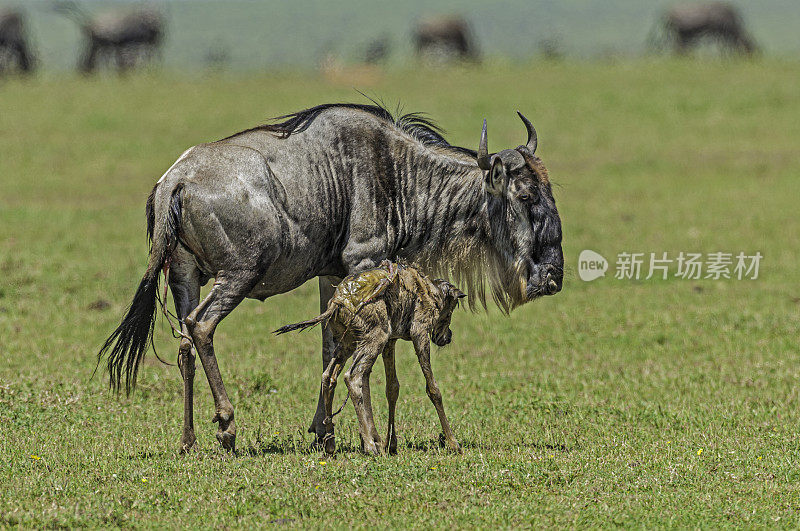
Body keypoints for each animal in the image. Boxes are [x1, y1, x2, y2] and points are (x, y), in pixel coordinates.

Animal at [276, 260, 466, 454]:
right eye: (449, 313)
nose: (447, 337)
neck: (430, 291)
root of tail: (337, 302)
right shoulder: (419, 333)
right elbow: (433, 388)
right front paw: (453, 443)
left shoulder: (391, 341)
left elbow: (392, 388)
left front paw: (391, 444)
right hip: (374, 338)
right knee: (352, 377)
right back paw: (369, 445)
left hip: (349, 343)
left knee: (328, 376)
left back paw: (330, 443)